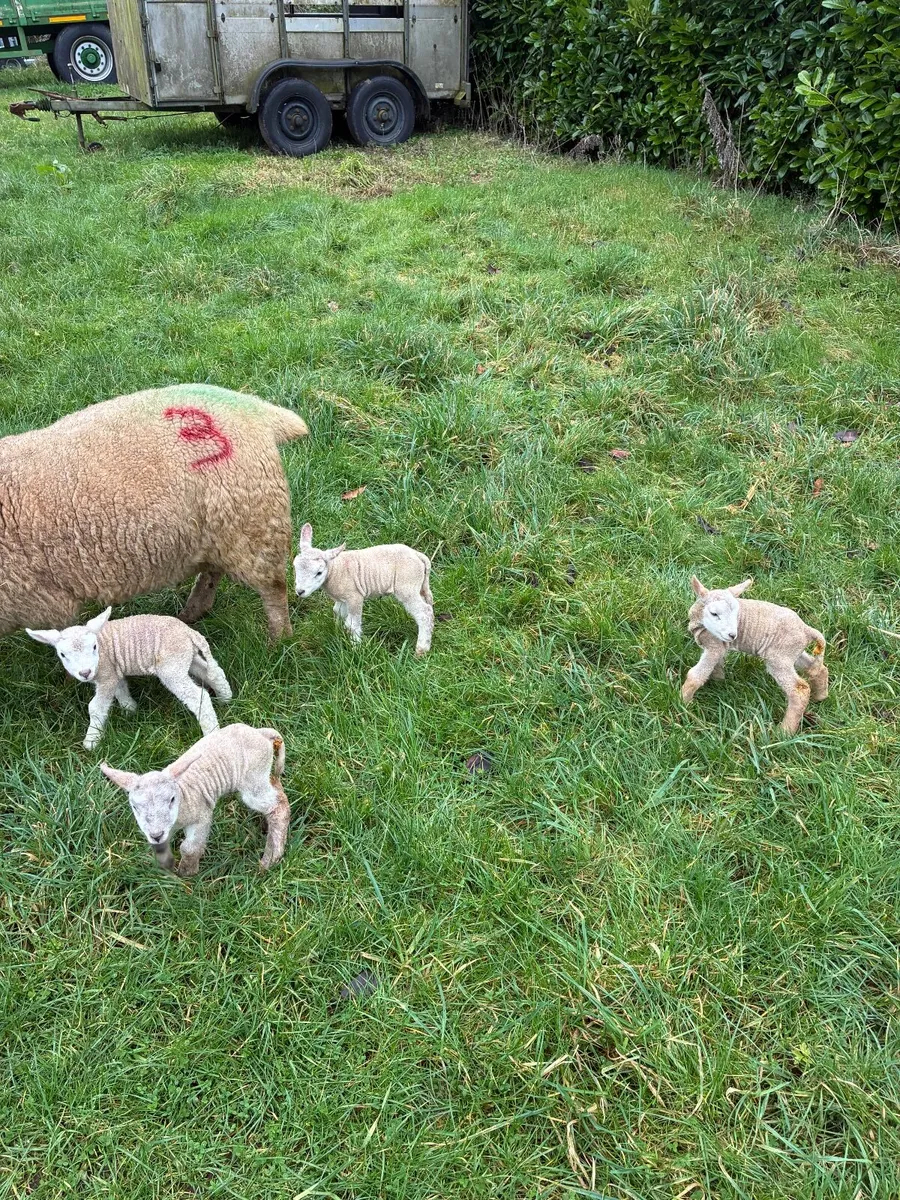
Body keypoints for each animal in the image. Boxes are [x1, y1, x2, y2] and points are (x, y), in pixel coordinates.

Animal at [0, 383, 308, 644]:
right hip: (223, 528)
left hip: (256, 528)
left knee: (274, 589)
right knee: (213, 571)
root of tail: (259, 411)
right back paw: (192, 612)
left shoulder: (46, 601)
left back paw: (279, 641)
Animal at [26, 607, 232, 750]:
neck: (102, 649)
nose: (85, 673)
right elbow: (121, 689)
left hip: (171, 666)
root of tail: (189, 632)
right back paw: (226, 698)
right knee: (212, 672)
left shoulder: (106, 674)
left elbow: (96, 707)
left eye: (94, 647)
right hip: (184, 657)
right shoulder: (114, 671)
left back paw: (211, 732)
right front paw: (130, 709)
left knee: (199, 696)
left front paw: (91, 741)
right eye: (62, 654)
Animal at [100, 723, 290, 876]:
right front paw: (167, 867)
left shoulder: (202, 814)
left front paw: (186, 873)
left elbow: (189, 848)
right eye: (134, 807)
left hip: (253, 777)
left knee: (277, 806)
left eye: (172, 799)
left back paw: (270, 858)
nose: (156, 835)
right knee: (277, 789)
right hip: (262, 775)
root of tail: (261, 733)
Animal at [293, 523, 434, 655]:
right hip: (419, 585)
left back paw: (421, 650)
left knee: (424, 613)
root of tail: (418, 555)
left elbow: (352, 624)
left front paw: (356, 647)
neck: (336, 569)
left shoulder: (354, 596)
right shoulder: (342, 599)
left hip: (407, 586)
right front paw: (338, 633)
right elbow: (338, 612)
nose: (300, 591)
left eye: (319, 572)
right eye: (295, 567)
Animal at [681, 576, 829, 735]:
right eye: (714, 614)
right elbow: (717, 668)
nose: (733, 635)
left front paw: (683, 702)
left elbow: (696, 675)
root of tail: (807, 630)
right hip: (791, 652)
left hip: (779, 657)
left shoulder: (714, 647)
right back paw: (820, 697)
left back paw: (784, 731)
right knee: (817, 668)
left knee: (799, 690)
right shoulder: (719, 646)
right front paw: (718, 684)